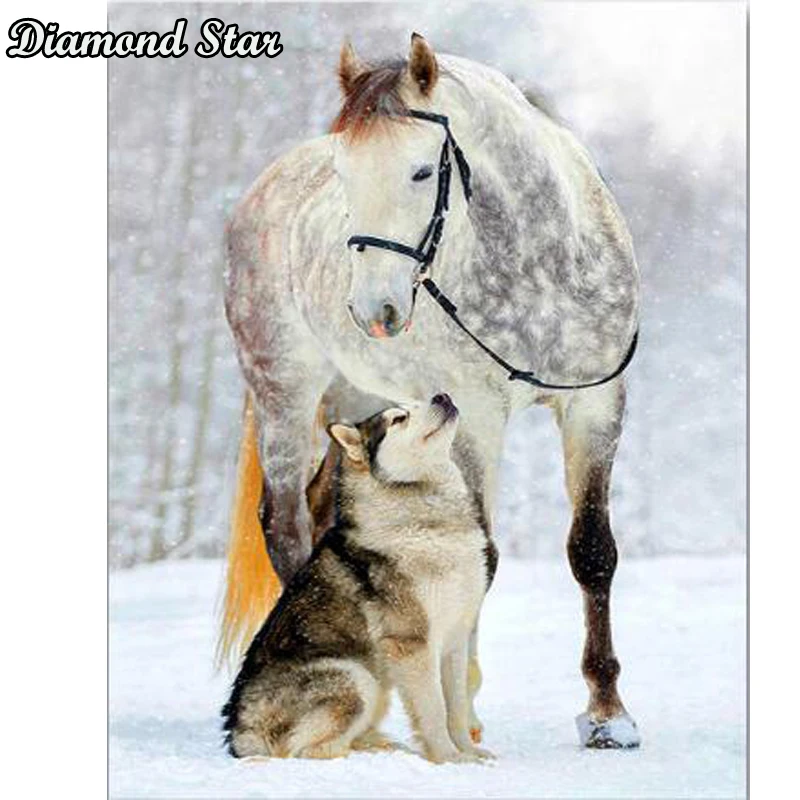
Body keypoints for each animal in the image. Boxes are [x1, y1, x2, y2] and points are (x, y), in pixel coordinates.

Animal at [221, 393, 497, 763]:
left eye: (417, 402)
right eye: (399, 418)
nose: (442, 395)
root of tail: (239, 732)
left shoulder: (454, 638)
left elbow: (455, 706)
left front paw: (468, 752)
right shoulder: (412, 643)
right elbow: (434, 710)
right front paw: (448, 758)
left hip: (375, 685)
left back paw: (381, 745)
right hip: (357, 676)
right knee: (306, 751)